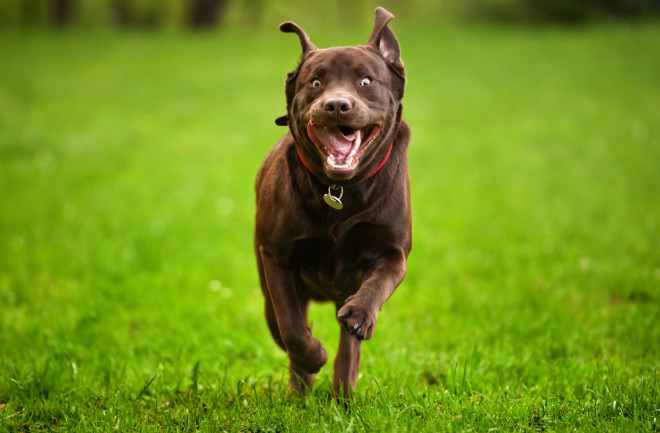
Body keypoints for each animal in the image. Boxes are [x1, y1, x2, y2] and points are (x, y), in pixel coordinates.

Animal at [255, 6, 410, 398]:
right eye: (315, 83)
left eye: (366, 81)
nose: (337, 105)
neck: (342, 190)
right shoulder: (276, 256)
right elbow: (292, 327)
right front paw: (312, 356)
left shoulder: (393, 250)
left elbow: (379, 282)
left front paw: (361, 315)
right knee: (280, 326)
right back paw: (303, 387)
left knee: (348, 347)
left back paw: (344, 392)